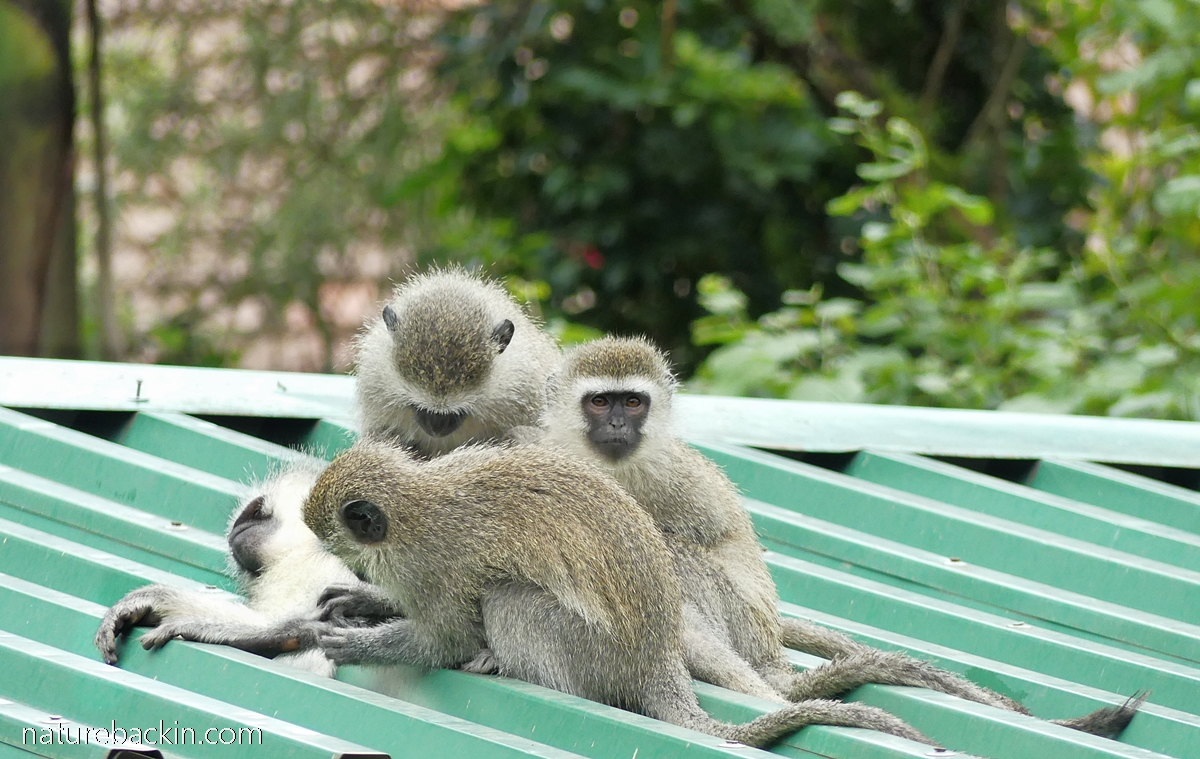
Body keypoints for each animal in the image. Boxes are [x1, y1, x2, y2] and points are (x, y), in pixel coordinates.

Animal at [298, 439, 936, 748]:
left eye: (337, 541)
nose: (349, 565)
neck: (414, 507)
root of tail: (658, 661)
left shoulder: (435, 561)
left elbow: (443, 638)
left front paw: (364, 643)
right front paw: (365, 604)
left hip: (592, 652)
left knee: (508, 596)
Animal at [533, 335, 1145, 738]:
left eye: (632, 401)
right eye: (600, 401)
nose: (618, 425)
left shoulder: (671, 474)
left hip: (746, 629)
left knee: (682, 560)